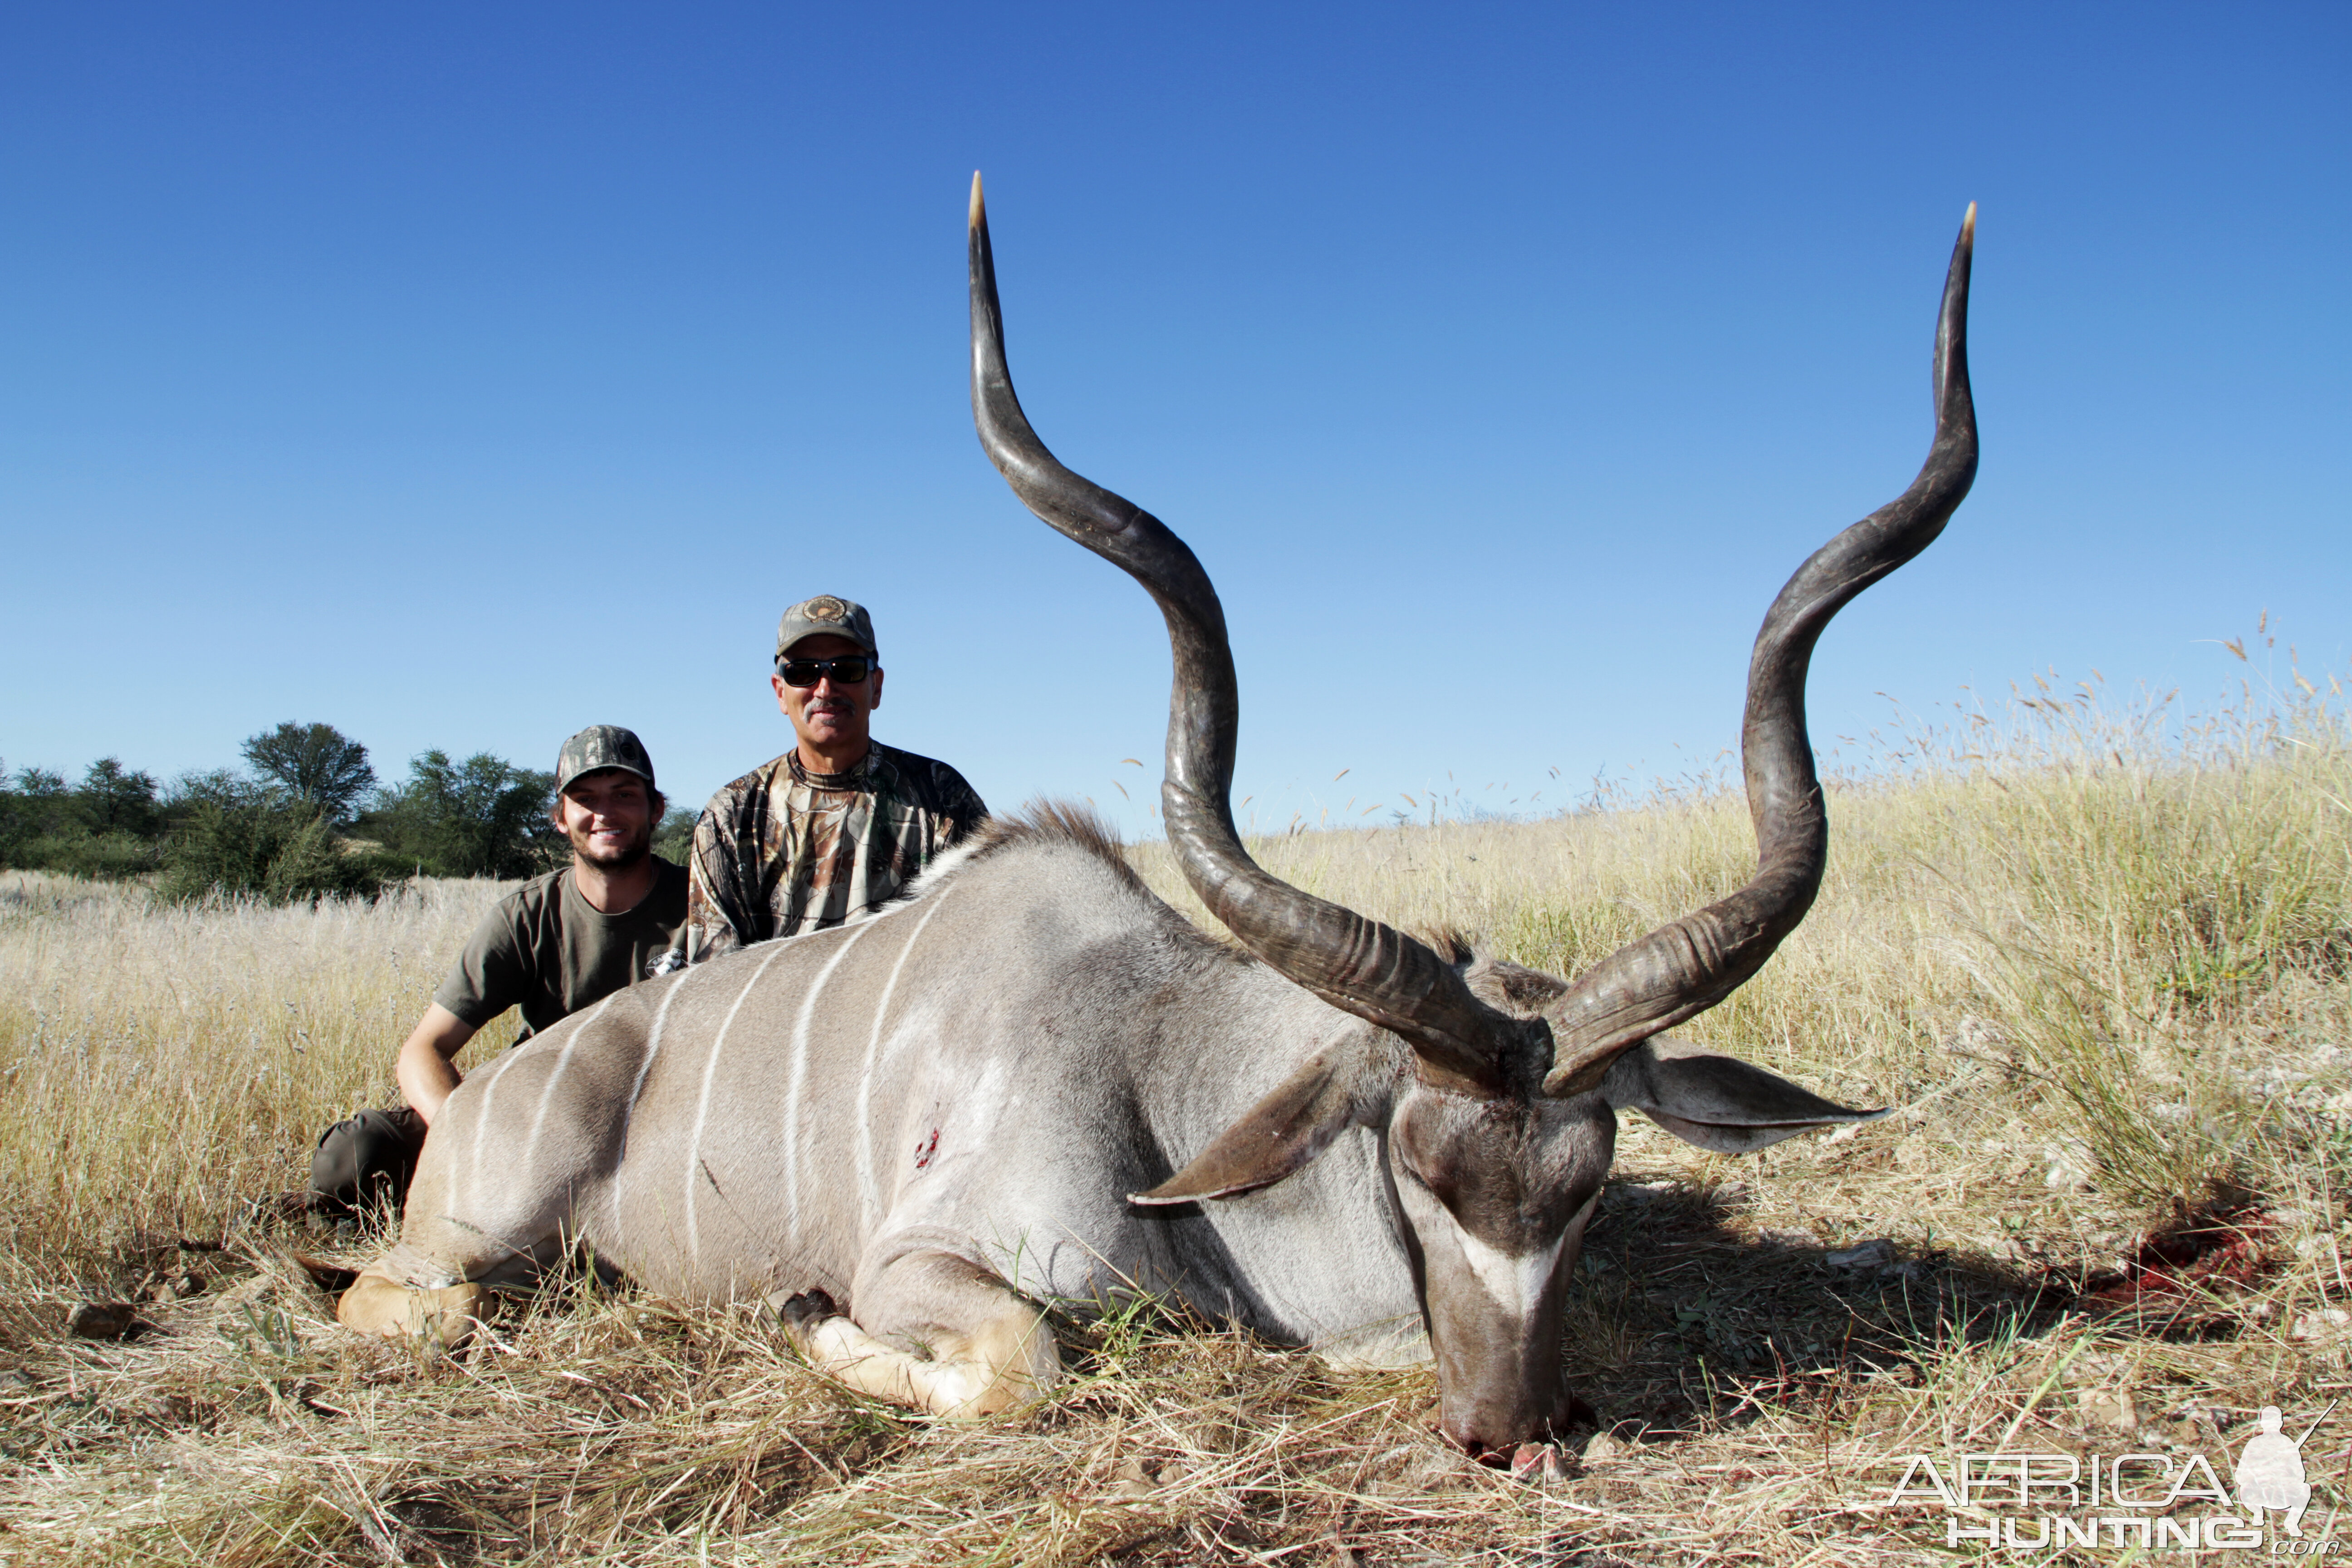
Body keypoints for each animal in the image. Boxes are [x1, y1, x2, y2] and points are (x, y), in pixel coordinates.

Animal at [341, 181, 1975, 1457]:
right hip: (469, 1242)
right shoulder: (925, 1260)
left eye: (1588, 1184)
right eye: (1420, 1167)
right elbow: (1021, 1362)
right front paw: (810, 1324)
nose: (1514, 1428)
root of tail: (478, 1099)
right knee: (399, 1299)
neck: (1156, 1065)